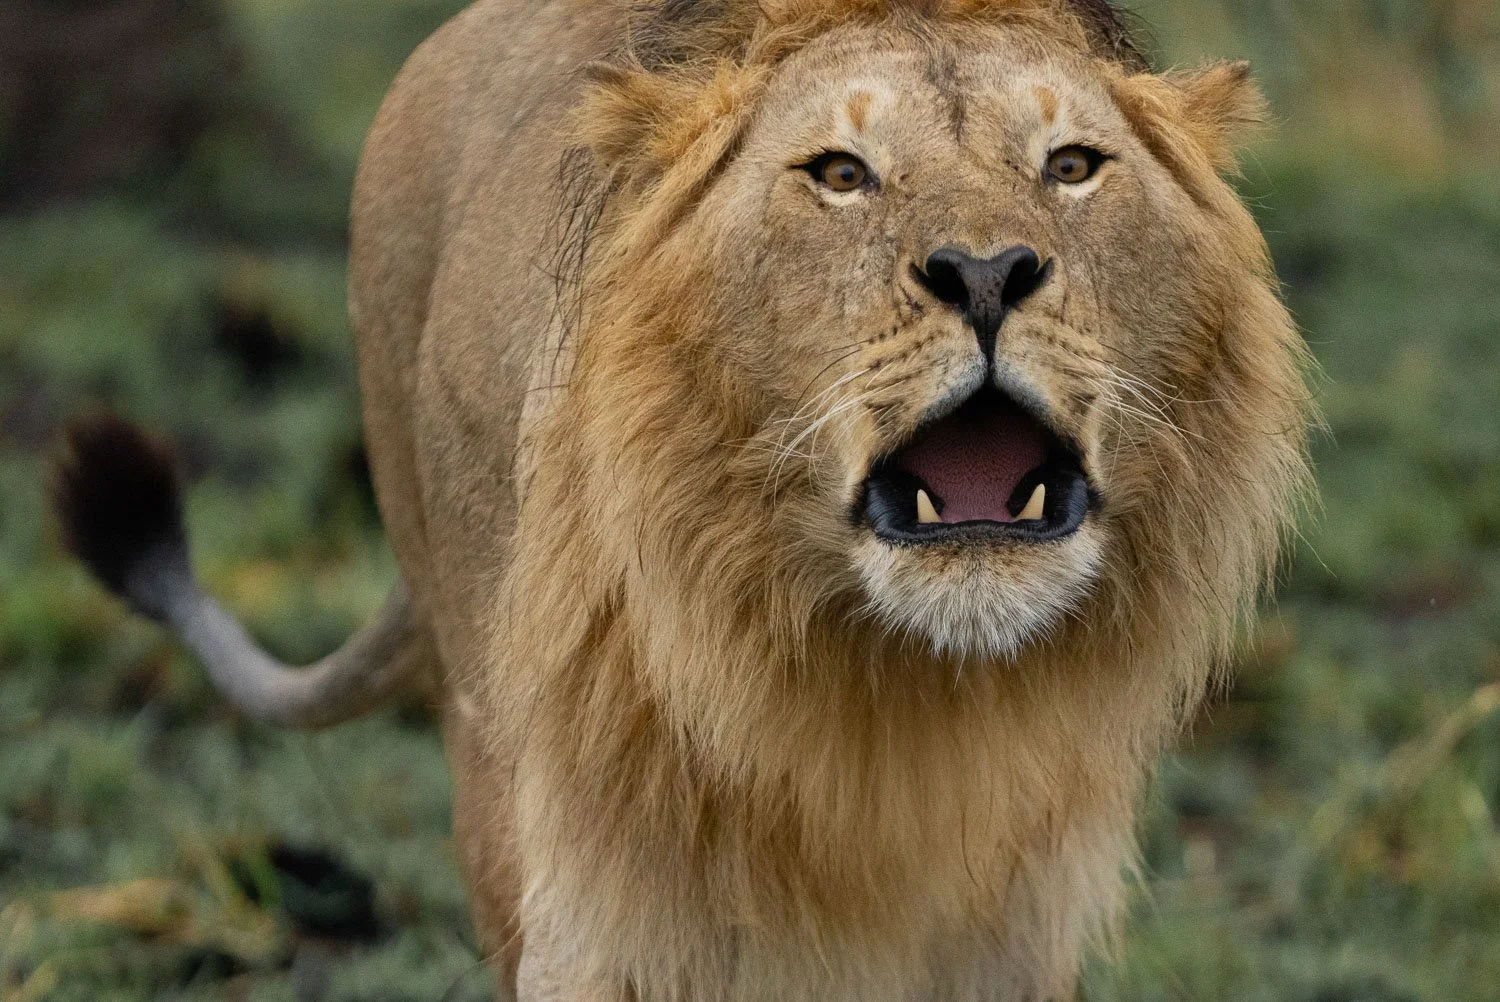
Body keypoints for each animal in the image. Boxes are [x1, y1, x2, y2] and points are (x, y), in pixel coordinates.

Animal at [52, 0, 1313, 997]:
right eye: (841, 174)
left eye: (1070, 166)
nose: (988, 273)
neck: (898, 693)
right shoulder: (591, 901)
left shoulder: (1014, 927)